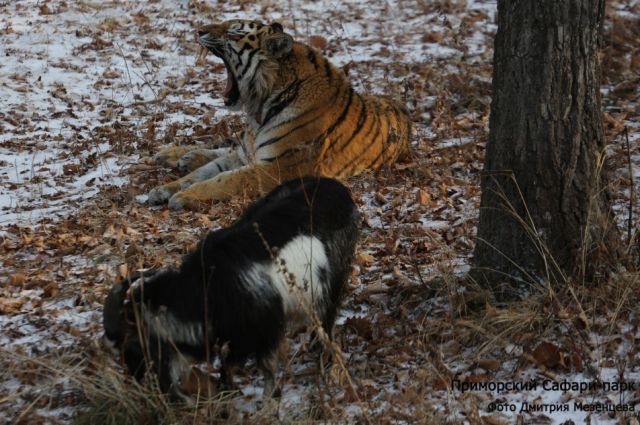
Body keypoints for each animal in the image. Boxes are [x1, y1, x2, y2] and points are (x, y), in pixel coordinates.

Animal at [102, 176, 358, 398]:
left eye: (132, 346)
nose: (140, 384)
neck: (207, 290)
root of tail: (337, 187)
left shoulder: (262, 333)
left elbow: (262, 369)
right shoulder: (235, 336)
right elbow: (227, 364)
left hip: (335, 276)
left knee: (328, 315)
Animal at [148, 19, 412, 210]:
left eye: (232, 32)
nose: (199, 29)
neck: (261, 104)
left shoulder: (279, 167)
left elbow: (227, 179)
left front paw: (183, 195)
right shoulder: (253, 153)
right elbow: (206, 171)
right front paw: (164, 189)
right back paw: (178, 155)